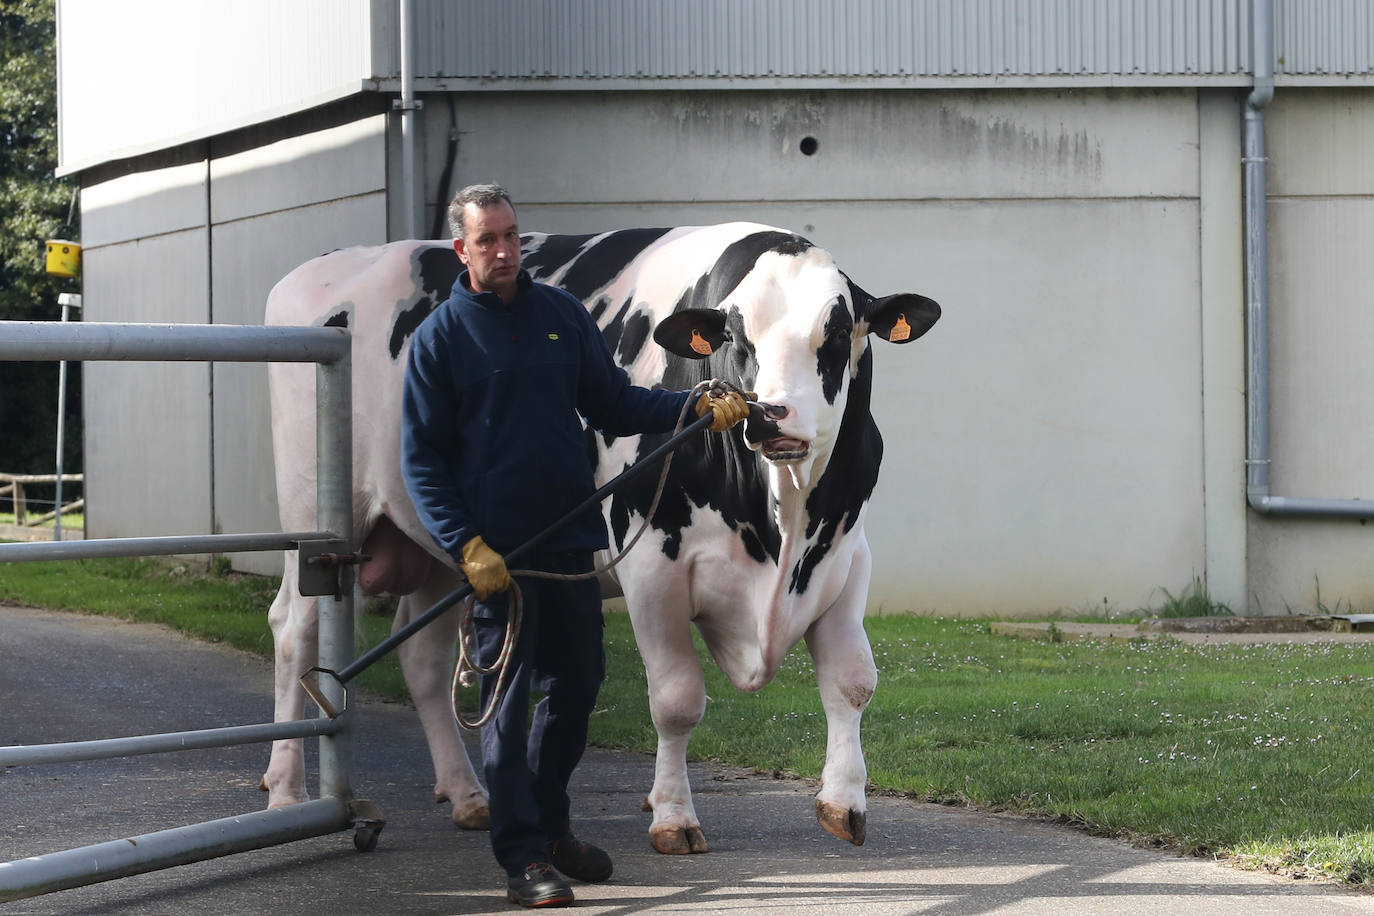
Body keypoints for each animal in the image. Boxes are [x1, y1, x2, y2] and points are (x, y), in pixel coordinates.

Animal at [262, 225, 939, 856]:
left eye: (837, 332)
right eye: (735, 338)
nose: (772, 415)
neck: (781, 519)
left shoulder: (847, 556)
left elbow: (853, 680)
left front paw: (844, 803)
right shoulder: (652, 569)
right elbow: (676, 700)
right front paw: (673, 817)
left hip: (440, 550)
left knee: (423, 659)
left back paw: (468, 795)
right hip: (317, 518)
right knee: (293, 629)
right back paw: (286, 794)